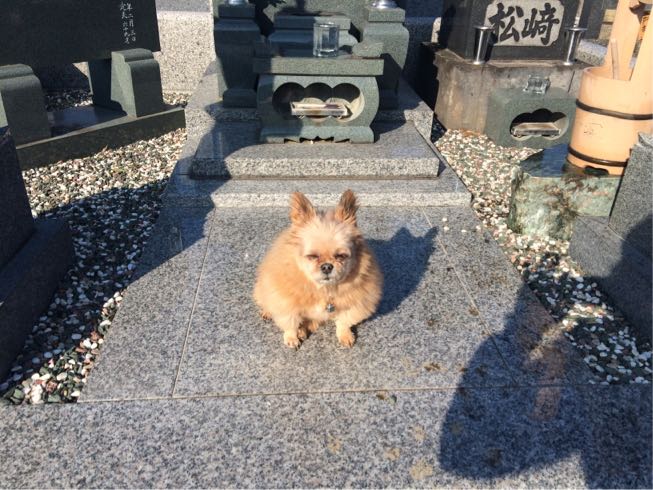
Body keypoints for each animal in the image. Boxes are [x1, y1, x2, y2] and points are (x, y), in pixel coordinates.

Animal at [253, 190, 382, 348]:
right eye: (313, 256)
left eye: (341, 256)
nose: (327, 266)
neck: (323, 290)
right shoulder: (285, 304)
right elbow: (290, 324)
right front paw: (291, 338)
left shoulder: (355, 304)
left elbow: (344, 322)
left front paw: (345, 336)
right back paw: (269, 313)